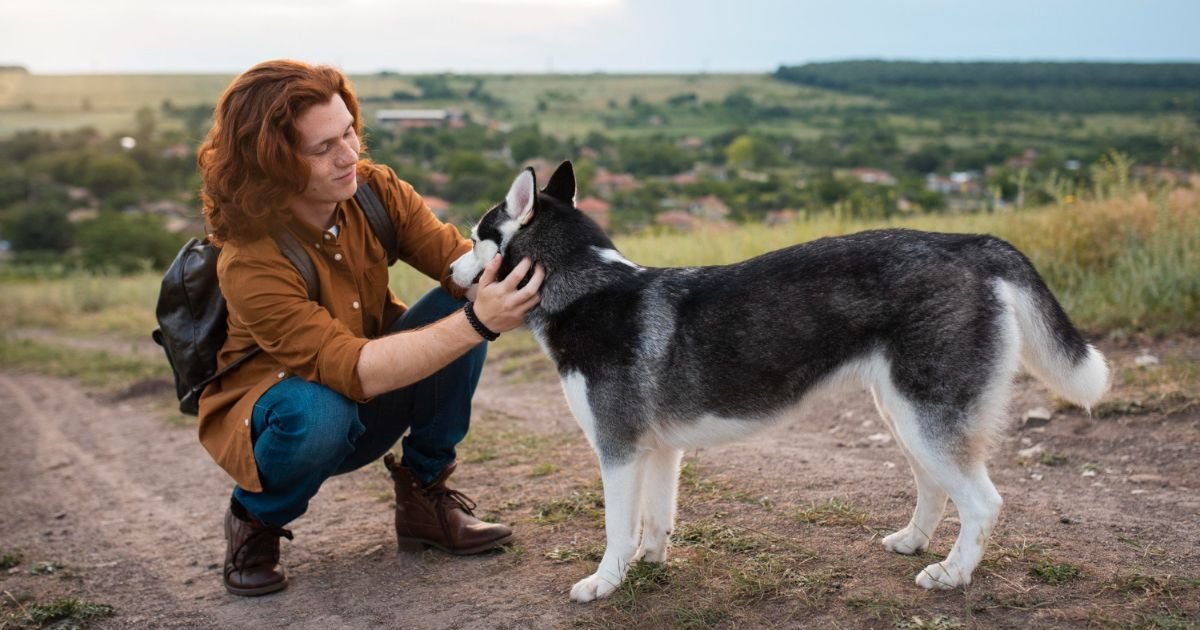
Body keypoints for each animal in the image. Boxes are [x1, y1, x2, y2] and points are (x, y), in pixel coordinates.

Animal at [451, 160, 1113, 600]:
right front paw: (650, 562)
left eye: (478, 237)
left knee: (982, 501)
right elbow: (655, 519)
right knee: (936, 485)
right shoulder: (658, 451)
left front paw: (605, 582)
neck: (586, 288)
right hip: (905, 414)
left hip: (926, 417)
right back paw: (913, 541)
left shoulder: (617, 450)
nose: (452, 269)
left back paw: (953, 574)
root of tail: (968, 243)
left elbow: (617, 528)